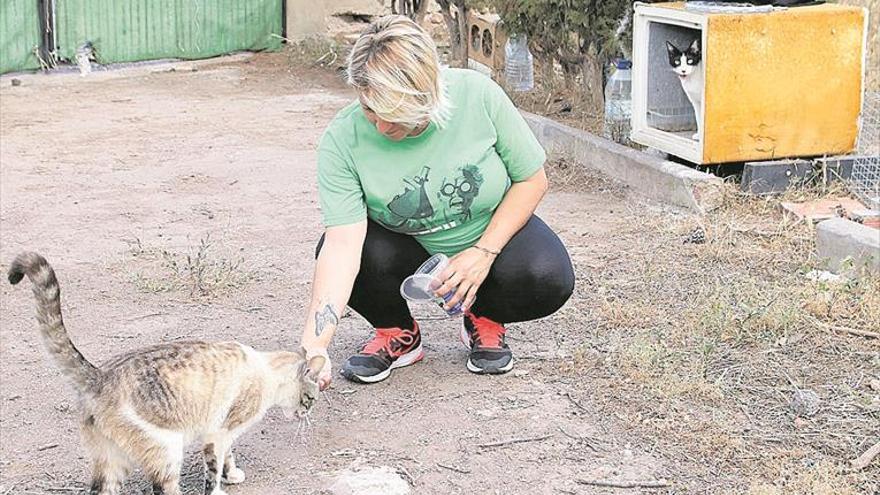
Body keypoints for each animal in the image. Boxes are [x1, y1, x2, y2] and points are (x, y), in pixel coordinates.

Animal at [8, 254, 324, 495]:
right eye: (311, 398)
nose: (307, 414)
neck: (266, 370)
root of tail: (100, 376)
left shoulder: (219, 431)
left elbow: (228, 457)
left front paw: (232, 474)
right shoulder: (219, 433)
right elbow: (213, 470)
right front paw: (219, 487)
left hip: (111, 460)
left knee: (101, 490)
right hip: (167, 450)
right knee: (163, 489)